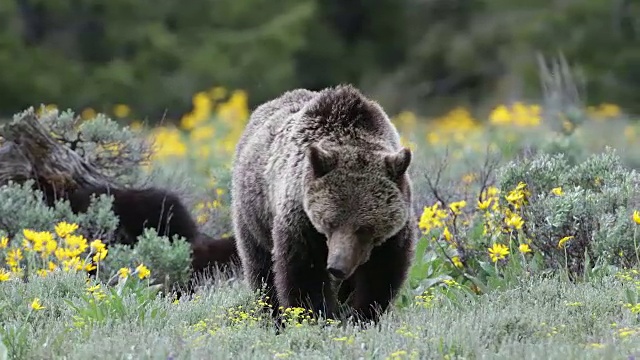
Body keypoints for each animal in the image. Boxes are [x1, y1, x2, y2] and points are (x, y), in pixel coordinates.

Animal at [230, 84, 416, 324]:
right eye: (330, 222)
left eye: (364, 228)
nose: (337, 267)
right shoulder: (301, 221)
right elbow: (304, 274)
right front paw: (315, 315)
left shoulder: (392, 236)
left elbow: (380, 275)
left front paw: (361, 315)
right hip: (254, 214)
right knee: (261, 269)